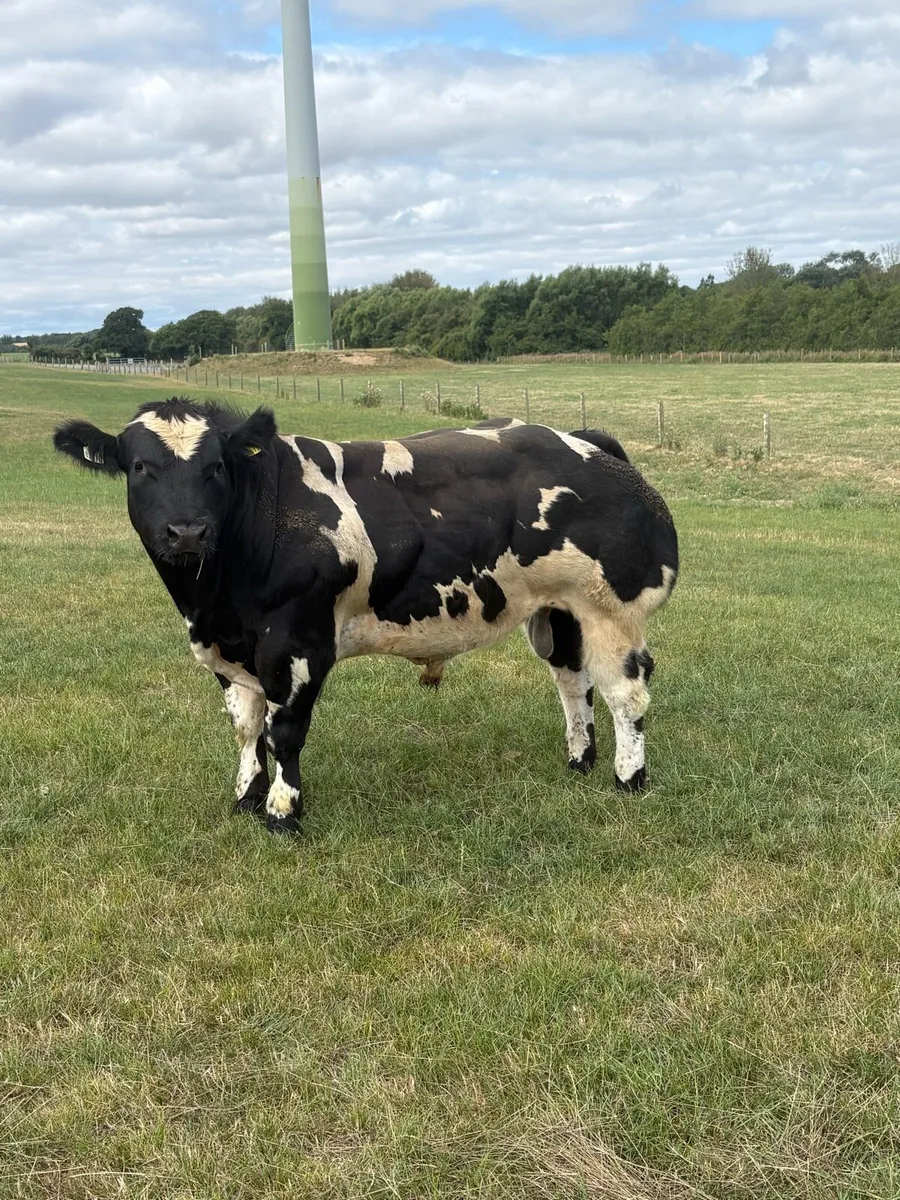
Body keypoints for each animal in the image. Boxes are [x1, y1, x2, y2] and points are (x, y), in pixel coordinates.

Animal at [53, 399, 678, 835]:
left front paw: (282, 811)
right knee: (574, 683)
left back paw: (628, 778)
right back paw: (579, 760)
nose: (186, 530)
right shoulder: (228, 650)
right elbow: (246, 727)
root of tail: (585, 440)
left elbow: (284, 730)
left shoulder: (297, 644)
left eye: (215, 467)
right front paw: (246, 796)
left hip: (611, 611)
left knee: (627, 694)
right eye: (139, 466)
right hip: (561, 610)